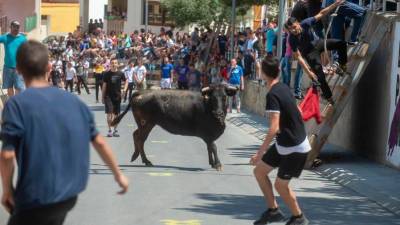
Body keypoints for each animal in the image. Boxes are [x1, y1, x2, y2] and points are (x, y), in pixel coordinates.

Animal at [110, 84, 238, 171]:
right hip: (146, 123)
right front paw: (218, 164)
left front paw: (212, 163)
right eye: (213, 98)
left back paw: (137, 156)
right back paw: (146, 160)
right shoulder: (208, 134)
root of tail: (140, 92)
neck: (207, 107)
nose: (218, 113)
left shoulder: (208, 136)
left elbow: (209, 148)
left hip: (147, 124)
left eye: (224, 97)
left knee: (136, 135)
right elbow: (214, 147)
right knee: (140, 138)